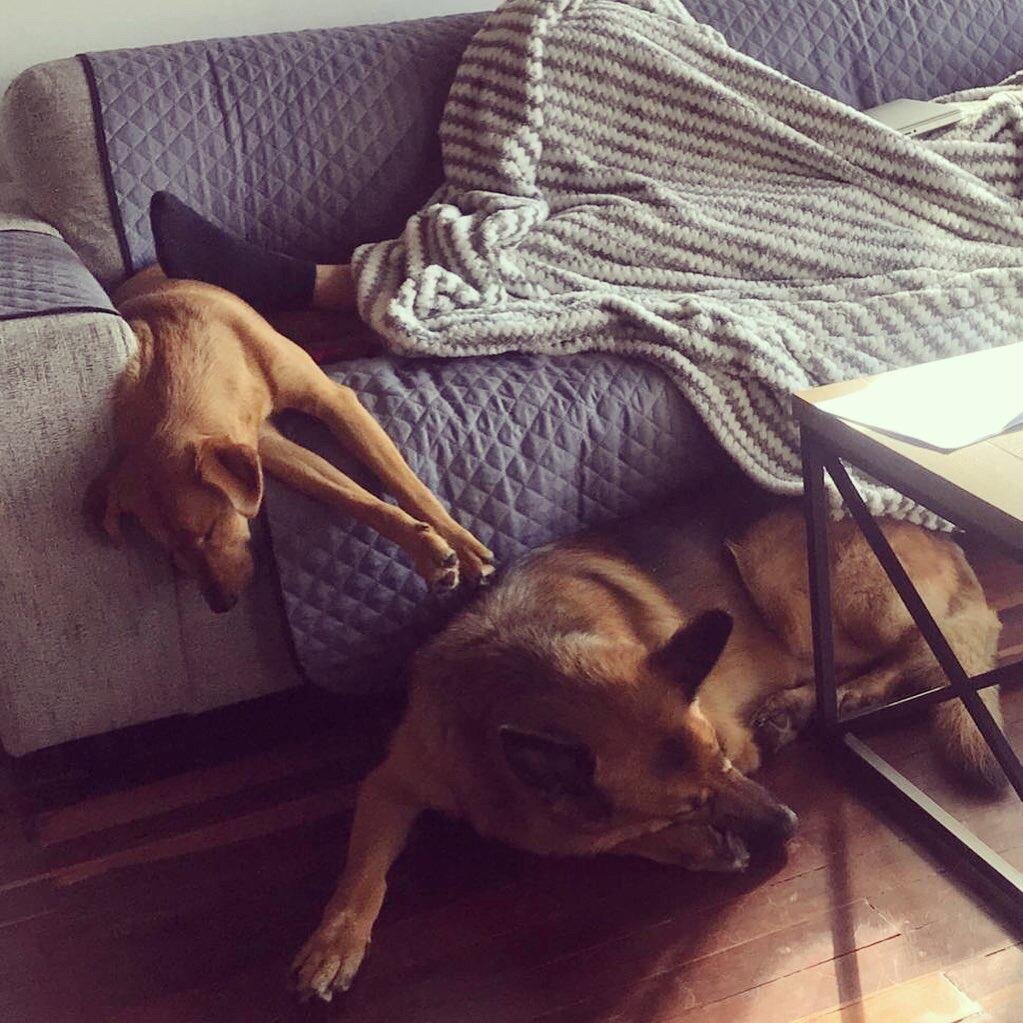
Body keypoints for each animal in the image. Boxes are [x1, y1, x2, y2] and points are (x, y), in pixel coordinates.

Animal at [86, 267, 494, 612]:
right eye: (171, 553)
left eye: (210, 530)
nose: (221, 606)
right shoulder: (265, 447)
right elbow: (352, 497)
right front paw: (426, 549)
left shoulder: (334, 401)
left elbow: (406, 484)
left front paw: (463, 546)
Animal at [291, 474, 1003, 1002]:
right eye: (689, 802)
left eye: (725, 764)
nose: (791, 824)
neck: (519, 672)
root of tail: (942, 535)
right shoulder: (393, 780)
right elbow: (363, 869)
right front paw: (333, 943)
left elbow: (596, 839)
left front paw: (692, 847)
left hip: (786, 579)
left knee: (923, 647)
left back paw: (841, 696)